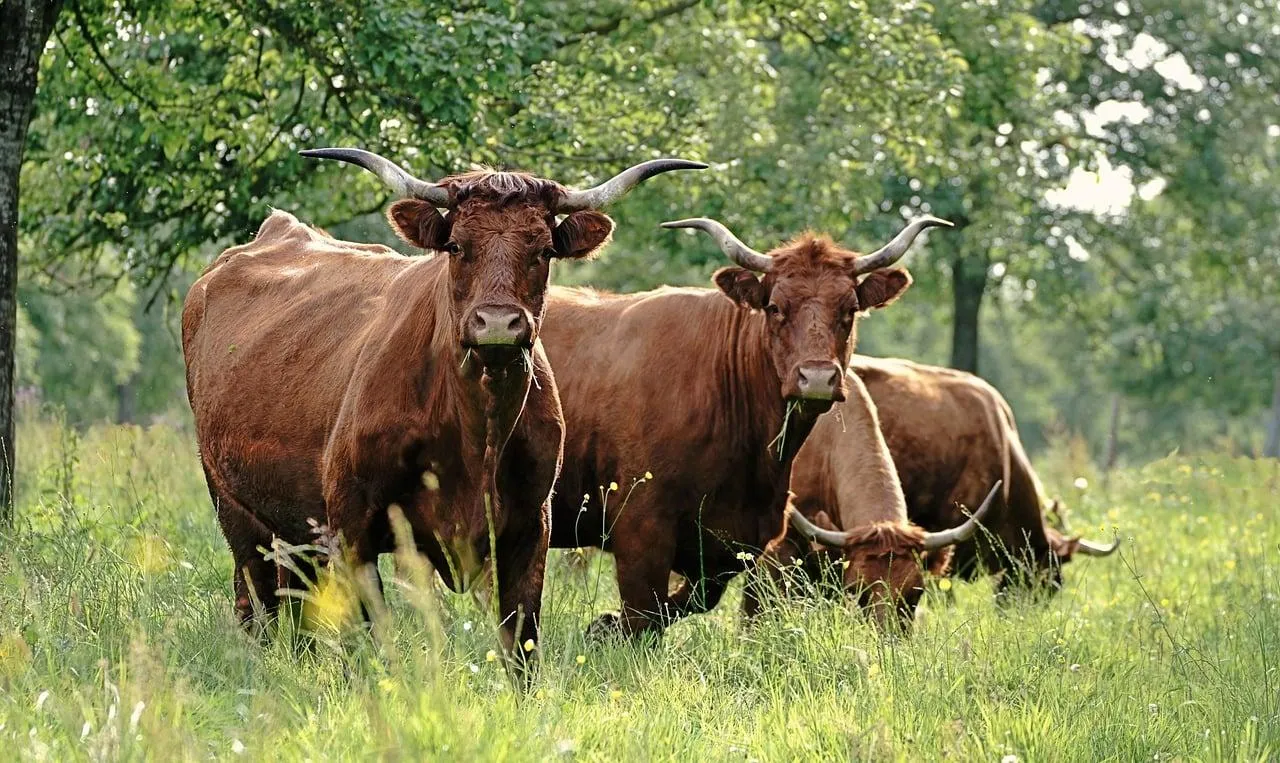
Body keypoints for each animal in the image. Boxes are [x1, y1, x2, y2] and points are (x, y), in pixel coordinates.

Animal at [182, 147, 705, 665]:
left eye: (543, 250)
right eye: (455, 246)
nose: (498, 323)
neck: (477, 433)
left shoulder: (530, 529)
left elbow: (522, 644)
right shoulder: (353, 526)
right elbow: (374, 643)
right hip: (233, 506)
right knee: (256, 602)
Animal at [539, 214, 950, 637]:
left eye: (850, 309)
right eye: (774, 307)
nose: (817, 378)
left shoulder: (737, 540)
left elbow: (688, 601)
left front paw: (602, 626)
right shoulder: (641, 530)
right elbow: (644, 616)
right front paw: (605, 629)